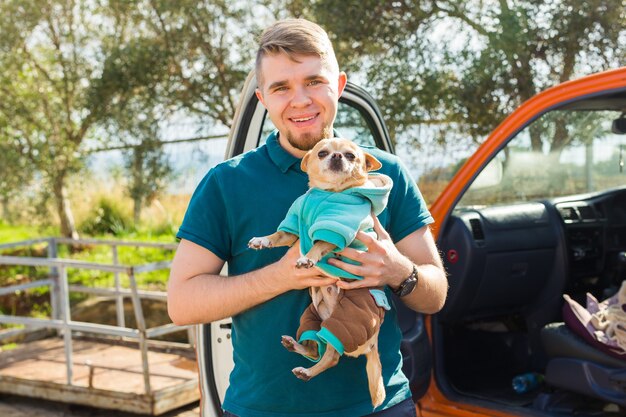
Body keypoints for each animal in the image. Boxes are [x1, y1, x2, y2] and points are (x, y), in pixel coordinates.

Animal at [247, 137, 390, 406]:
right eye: (322, 153)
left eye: (351, 156)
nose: (336, 157)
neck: (327, 193)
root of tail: (374, 343)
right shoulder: (292, 228)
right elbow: (278, 234)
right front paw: (262, 240)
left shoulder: (337, 229)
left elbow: (319, 243)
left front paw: (308, 258)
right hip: (311, 316)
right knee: (315, 346)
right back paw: (297, 348)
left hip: (348, 320)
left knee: (332, 356)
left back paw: (308, 372)